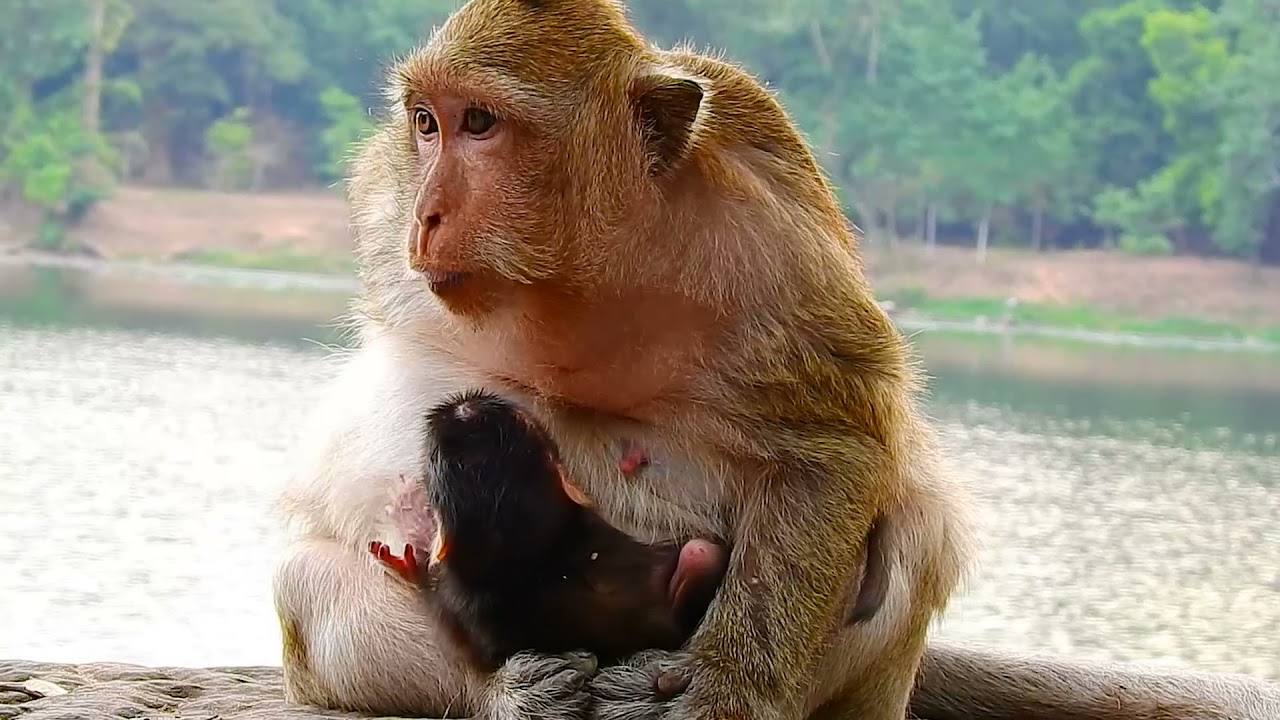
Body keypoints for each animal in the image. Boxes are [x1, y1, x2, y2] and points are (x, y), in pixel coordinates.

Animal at [269, 2, 1280, 720]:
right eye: (426, 123)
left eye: (480, 123)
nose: (427, 213)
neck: (587, 280)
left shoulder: (772, 248)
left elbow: (836, 447)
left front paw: (728, 689)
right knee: (312, 580)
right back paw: (506, 692)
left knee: (903, 543)